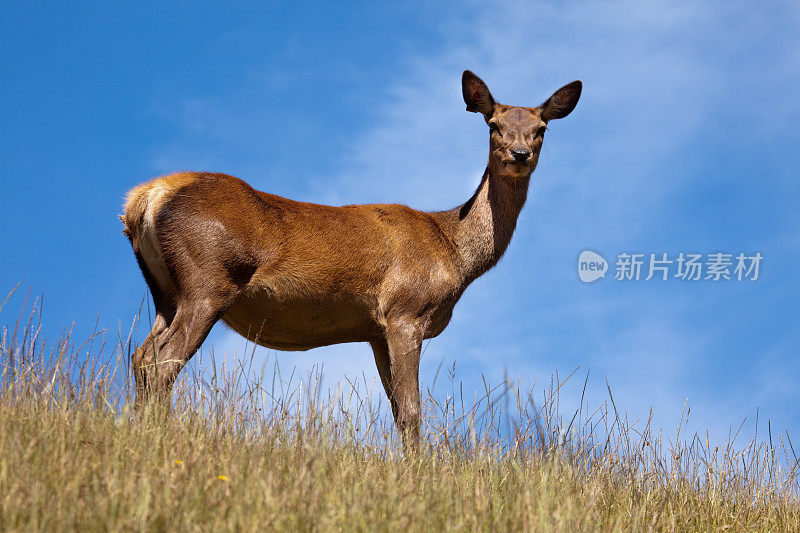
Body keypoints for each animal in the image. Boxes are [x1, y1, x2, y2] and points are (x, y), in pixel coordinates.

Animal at [120, 69, 580, 444]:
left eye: (541, 128)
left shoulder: (374, 330)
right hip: (209, 278)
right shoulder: (405, 310)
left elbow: (398, 412)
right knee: (163, 362)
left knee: (141, 356)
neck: (453, 251)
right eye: (494, 125)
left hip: (166, 291)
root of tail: (146, 197)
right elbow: (412, 413)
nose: (520, 155)